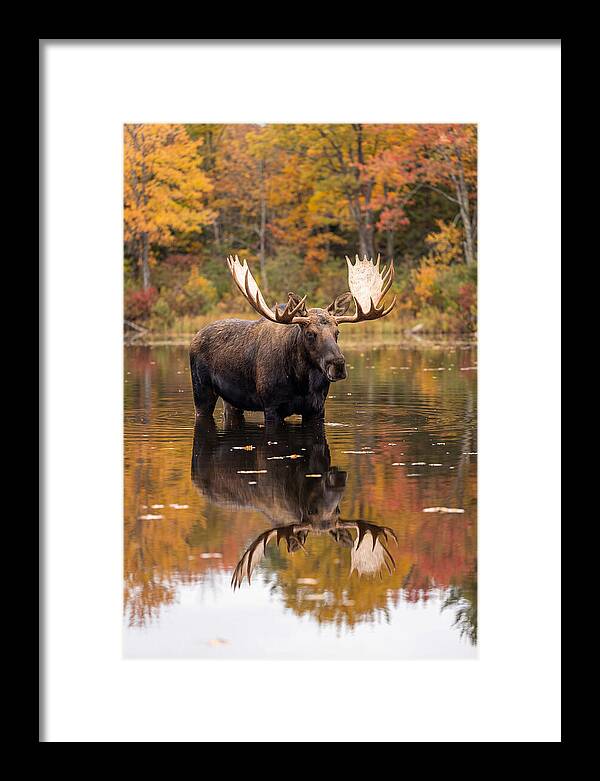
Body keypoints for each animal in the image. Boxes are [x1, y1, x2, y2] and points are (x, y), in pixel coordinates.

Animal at [189, 254, 396, 425]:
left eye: (337, 332)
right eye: (310, 333)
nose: (337, 364)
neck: (301, 381)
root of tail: (195, 336)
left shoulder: (317, 408)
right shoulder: (271, 406)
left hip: (232, 400)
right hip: (201, 391)